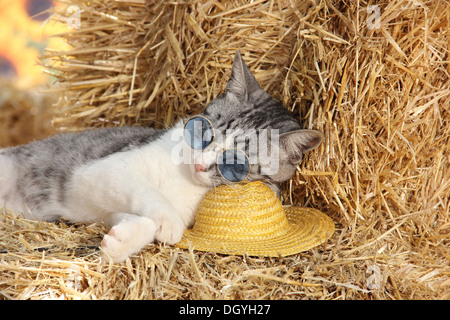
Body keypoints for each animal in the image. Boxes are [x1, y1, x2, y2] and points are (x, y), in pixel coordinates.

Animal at [0, 52, 324, 262]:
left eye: (235, 164)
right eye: (205, 131)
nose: (200, 164)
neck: (184, 182)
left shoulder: (102, 205)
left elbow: (135, 218)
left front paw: (122, 241)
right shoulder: (102, 170)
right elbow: (145, 191)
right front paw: (168, 222)